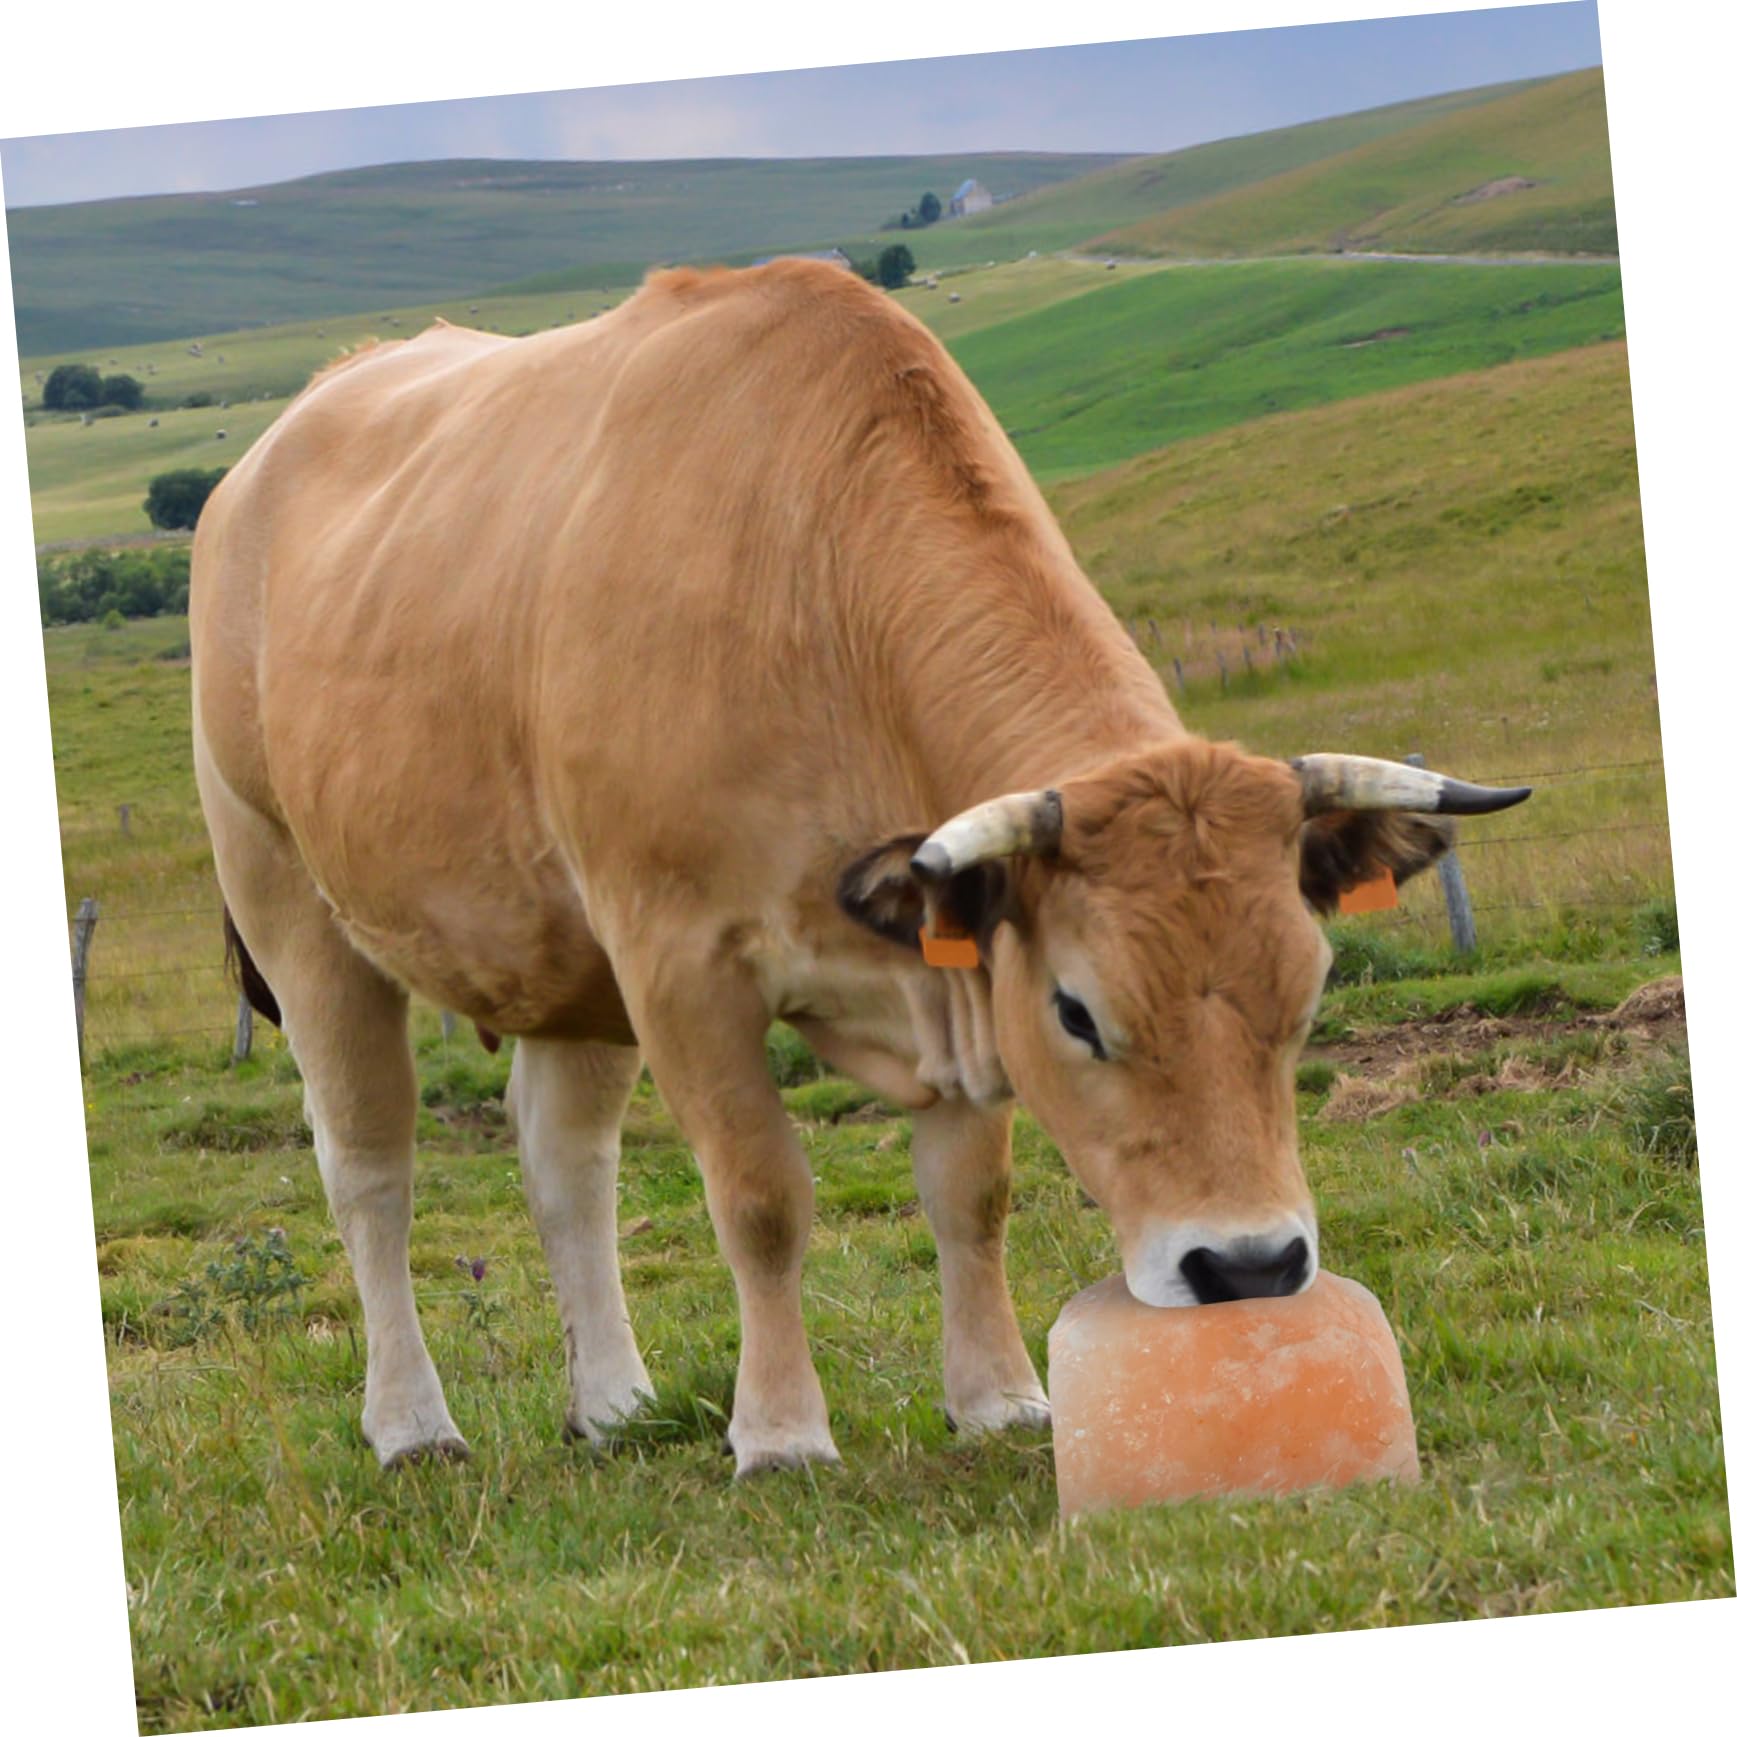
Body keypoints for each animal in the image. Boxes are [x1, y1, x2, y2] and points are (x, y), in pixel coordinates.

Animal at [189, 259, 1528, 1475]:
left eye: (1308, 995)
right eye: (1079, 1014)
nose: (1250, 1267)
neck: (812, 591)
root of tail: (286, 432)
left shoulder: (948, 954)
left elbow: (971, 1194)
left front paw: (998, 1399)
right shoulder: (681, 963)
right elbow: (762, 1200)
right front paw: (781, 1432)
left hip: (563, 957)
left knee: (565, 1162)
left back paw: (613, 1405)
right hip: (294, 905)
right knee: (370, 1168)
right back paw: (413, 1426)